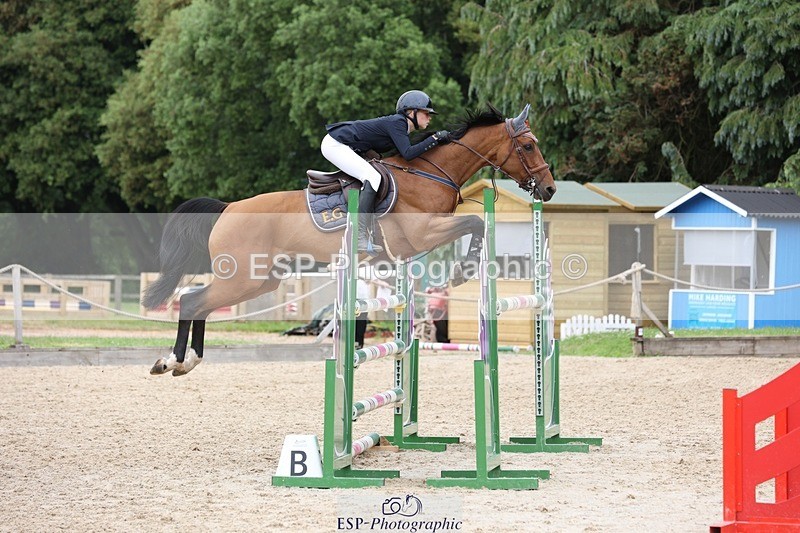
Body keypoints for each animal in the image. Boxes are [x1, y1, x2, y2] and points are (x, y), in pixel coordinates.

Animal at [143, 104, 556, 376]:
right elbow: (474, 222)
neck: (431, 173)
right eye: (529, 145)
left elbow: (475, 225)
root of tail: (228, 208)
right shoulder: (424, 232)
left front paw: (463, 269)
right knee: (192, 300)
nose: (549, 189)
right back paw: (172, 360)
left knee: (198, 302)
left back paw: (186, 361)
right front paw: (463, 270)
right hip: (242, 278)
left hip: (260, 280)